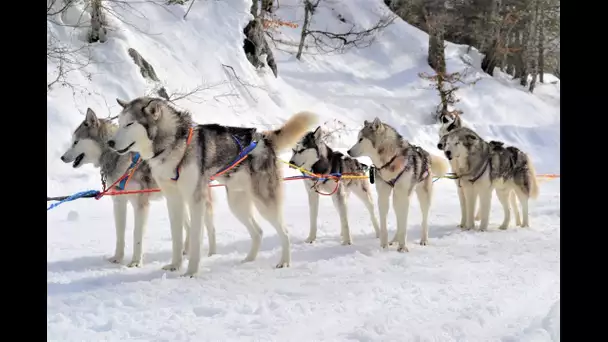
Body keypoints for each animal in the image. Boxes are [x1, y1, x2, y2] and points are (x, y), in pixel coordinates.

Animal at [60, 108, 217, 266]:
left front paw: (135, 262)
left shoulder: (141, 205)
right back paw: (186, 251)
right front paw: (117, 258)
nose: (62, 157)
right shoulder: (119, 202)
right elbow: (120, 233)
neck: (118, 158)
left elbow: (137, 235)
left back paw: (212, 254)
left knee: (210, 228)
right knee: (189, 226)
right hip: (176, 199)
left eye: (76, 142)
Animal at [109, 97, 318, 278]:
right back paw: (249, 259)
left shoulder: (195, 200)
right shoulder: (174, 200)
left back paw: (284, 262)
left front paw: (191, 272)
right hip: (237, 204)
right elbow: (177, 237)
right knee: (258, 232)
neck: (174, 144)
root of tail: (263, 138)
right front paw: (175, 265)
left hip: (264, 202)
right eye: (119, 123)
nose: (110, 142)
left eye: (130, 124)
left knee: (284, 232)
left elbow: (195, 238)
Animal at [344, 117, 448, 251]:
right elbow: (384, 225)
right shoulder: (383, 195)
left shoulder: (403, 195)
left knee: (423, 219)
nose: (348, 151)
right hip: (396, 198)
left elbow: (404, 225)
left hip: (422, 196)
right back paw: (394, 240)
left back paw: (423, 240)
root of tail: (425, 154)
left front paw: (403, 248)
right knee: (399, 218)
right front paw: (384, 246)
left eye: (361, 139)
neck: (390, 160)